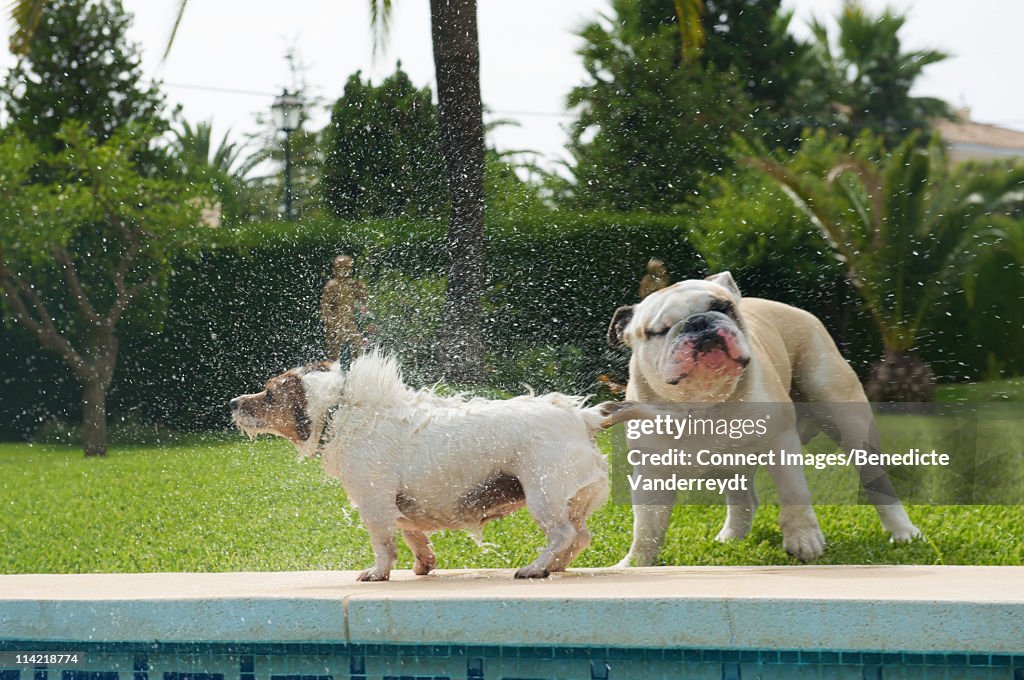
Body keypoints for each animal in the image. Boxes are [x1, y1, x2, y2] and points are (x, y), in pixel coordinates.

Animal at [232, 352, 610, 581]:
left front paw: (377, 572)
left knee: (563, 534)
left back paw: (535, 567)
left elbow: (383, 544)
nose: (234, 402)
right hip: (572, 498)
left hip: (543, 493)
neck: (340, 413)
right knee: (581, 536)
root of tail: (583, 418)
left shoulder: (374, 502)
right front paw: (423, 564)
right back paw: (555, 566)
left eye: (269, 395)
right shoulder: (399, 507)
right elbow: (412, 535)